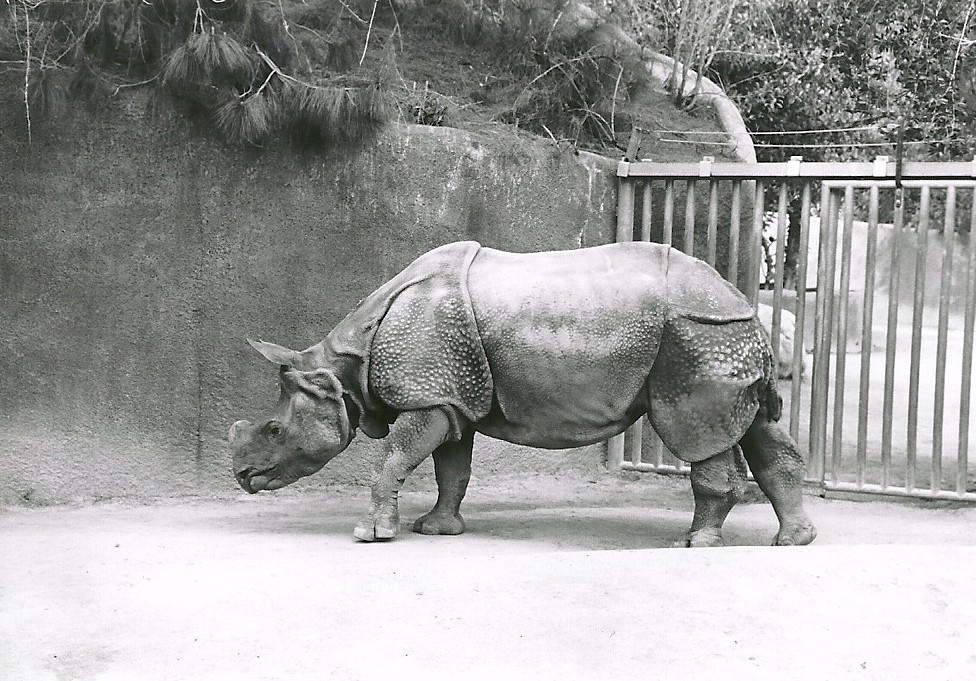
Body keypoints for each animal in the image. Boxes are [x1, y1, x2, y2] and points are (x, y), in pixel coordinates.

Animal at [229, 241, 817, 547]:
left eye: (275, 430)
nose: (242, 477)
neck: (340, 367)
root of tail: (742, 300)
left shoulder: (428, 395)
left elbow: (393, 456)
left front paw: (370, 534)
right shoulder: (451, 397)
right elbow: (451, 468)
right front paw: (438, 529)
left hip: (695, 336)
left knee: (696, 433)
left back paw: (692, 545)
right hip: (721, 335)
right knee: (760, 429)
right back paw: (794, 541)